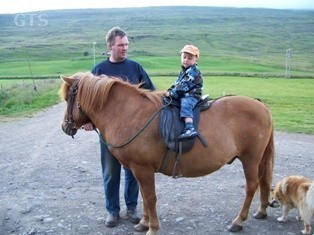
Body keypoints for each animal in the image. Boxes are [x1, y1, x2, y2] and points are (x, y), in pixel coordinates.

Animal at [59, 72, 274, 235]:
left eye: (68, 98)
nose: (64, 127)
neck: (129, 114)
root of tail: (261, 106)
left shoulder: (143, 169)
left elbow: (150, 197)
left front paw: (152, 228)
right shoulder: (139, 170)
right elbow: (144, 196)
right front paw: (144, 223)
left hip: (250, 159)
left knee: (252, 186)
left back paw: (238, 221)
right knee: (263, 182)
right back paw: (261, 210)